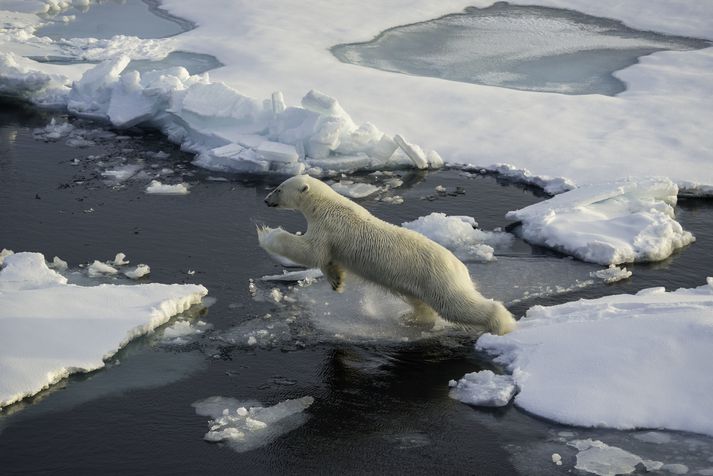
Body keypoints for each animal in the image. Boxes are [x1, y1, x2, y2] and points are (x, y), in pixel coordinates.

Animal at [258, 175, 516, 334]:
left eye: (278, 188)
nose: (266, 200)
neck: (325, 205)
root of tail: (460, 266)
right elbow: (325, 258)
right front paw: (336, 282)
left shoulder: (329, 227)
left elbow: (310, 251)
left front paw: (267, 233)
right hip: (419, 282)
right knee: (420, 302)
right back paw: (410, 317)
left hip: (438, 278)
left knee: (457, 305)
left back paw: (502, 324)